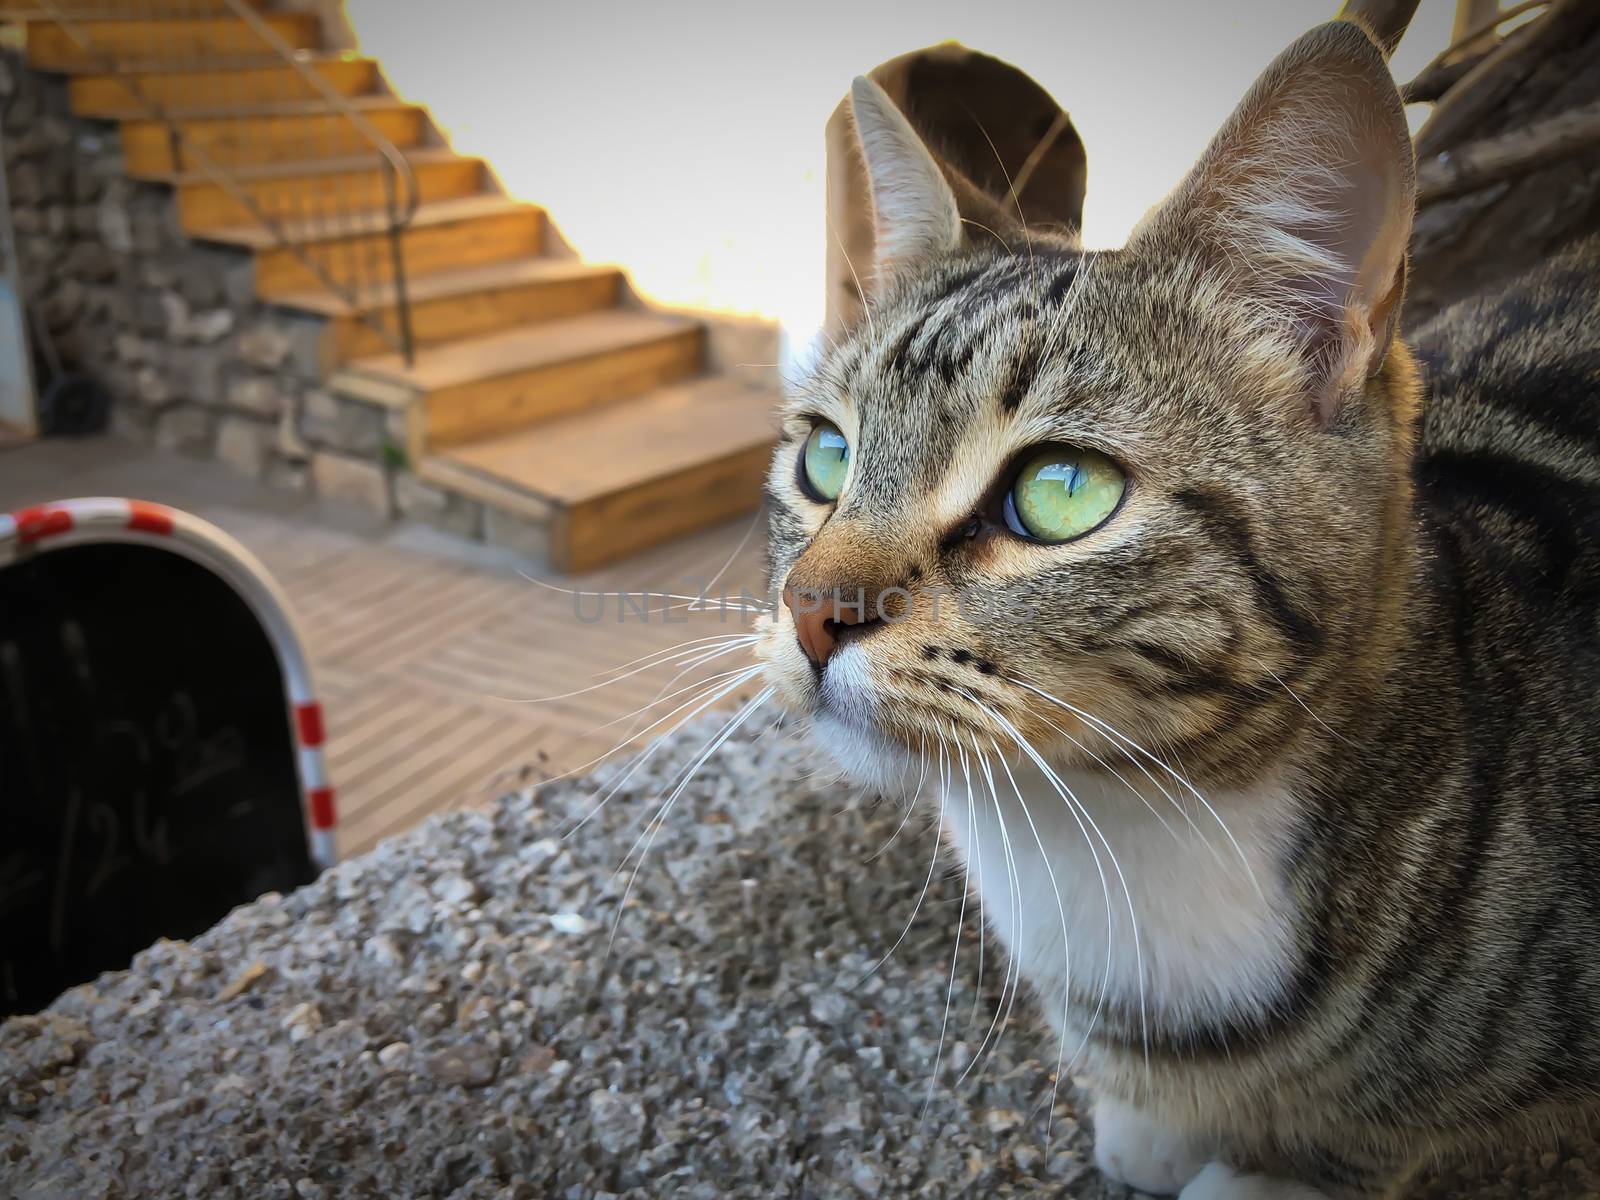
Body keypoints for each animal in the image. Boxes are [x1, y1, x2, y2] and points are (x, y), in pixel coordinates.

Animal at [755, 18, 1600, 1200]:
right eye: (826, 458)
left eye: (1061, 491)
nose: (809, 608)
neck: (1107, 829)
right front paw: (1152, 1122)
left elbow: (1362, 1127)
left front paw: (1270, 1170)